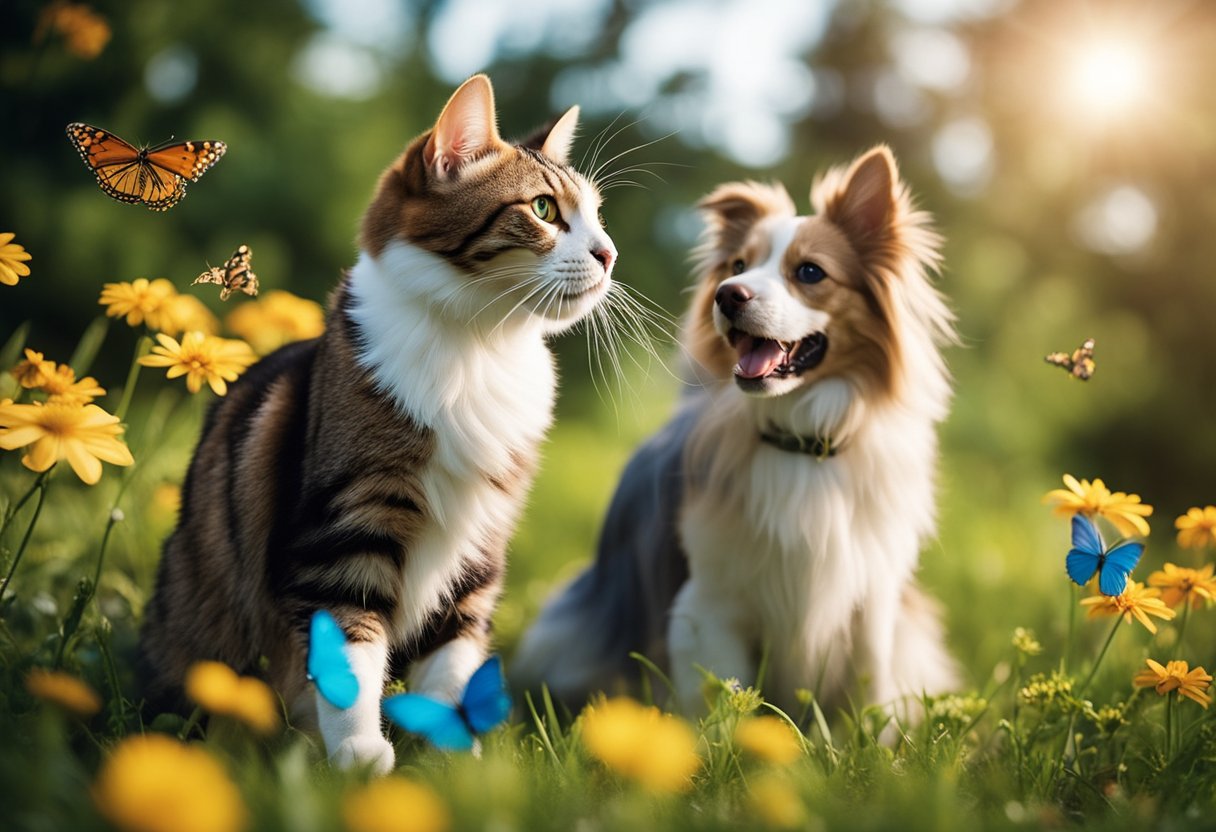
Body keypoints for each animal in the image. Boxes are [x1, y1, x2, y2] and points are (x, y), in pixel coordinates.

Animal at [139, 77, 617, 773]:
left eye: (598, 217)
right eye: (545, 210)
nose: (610, 254)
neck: (479, 346)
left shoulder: (478, 551)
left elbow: (453, 667)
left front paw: (458, 767)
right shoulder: (347, 532)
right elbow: (349, 655)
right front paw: (359, 757)